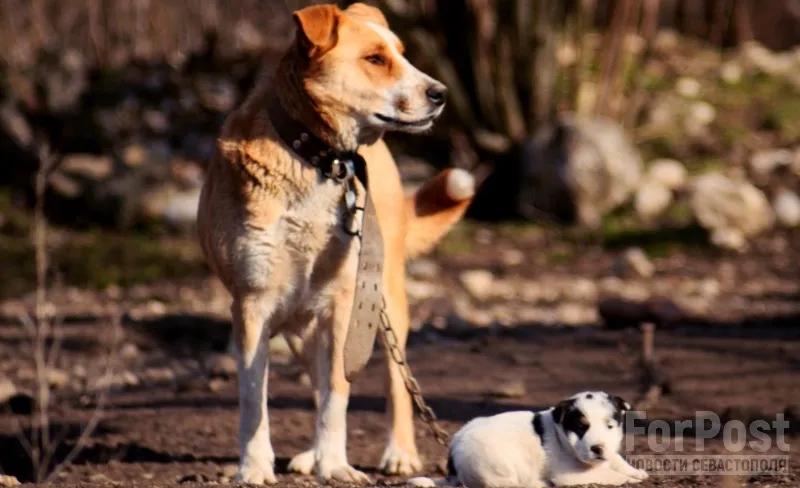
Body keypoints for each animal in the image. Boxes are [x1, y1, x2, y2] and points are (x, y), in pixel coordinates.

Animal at [196, 2, 476, 484]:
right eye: (375, 59)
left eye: (402, 53)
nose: (440, 93)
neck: (317, 160)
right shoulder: (252, 305)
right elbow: (255, 400)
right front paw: (254, 467)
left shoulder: (346, 307)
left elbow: (337, 396)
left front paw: (336, 465)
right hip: (301, 326)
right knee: (314, 380)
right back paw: (309, 455)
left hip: (385, 303)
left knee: (396, 384)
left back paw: (399, 453)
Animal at [410, 392, 648, 488]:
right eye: (581, 427)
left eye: (610, 426)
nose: (597, 448)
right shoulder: (570, 475)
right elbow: (611, 475)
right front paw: (630, 479)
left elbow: (616, 461)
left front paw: (636, 472)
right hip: (498, 462)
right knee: (502, 484)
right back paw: (538, 483)